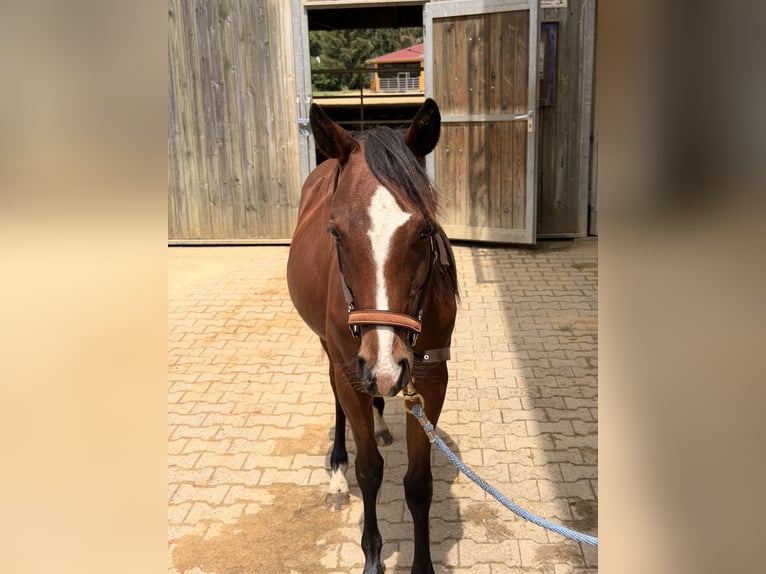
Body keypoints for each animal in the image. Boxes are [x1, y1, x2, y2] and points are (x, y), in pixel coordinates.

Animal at [286, 98, 458, 574]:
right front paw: (373, 557)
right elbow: (370, 471)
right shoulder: (353, 370)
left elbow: (418, 483)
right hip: (335, 355)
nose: (384, 366)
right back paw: (336, 476)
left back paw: (380, 423)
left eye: (425, 229)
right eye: (335, 231)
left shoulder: (430, 377)